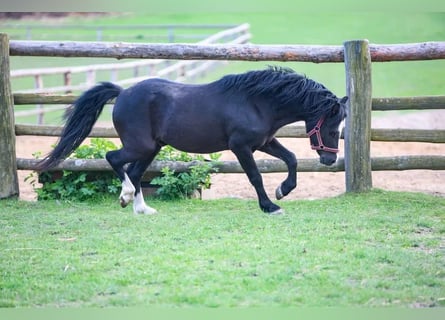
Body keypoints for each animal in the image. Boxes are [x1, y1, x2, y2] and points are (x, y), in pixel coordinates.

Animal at [36, 66, 346, 214]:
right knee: (113, 159)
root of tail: (122, 93)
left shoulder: (264, 142)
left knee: (134, 172)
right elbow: (256, 176)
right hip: (140, 146)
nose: (330, 159)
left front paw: (283, 191)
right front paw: (270, 206)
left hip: (152, 148)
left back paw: (142, 209)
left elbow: (291, 159)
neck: (256, 101)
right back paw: (125, 197)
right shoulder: (241, 147)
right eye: (333, 128)